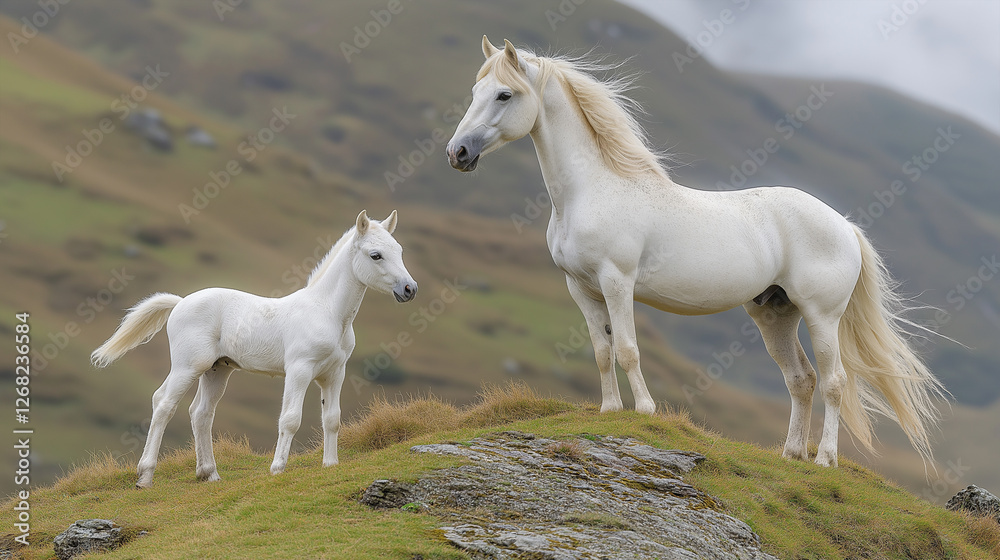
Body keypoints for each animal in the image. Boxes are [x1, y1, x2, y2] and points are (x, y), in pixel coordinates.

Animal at [92, 210, 417, 487]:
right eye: (375, 255)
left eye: (400, 250)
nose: (409, 289)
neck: (327, 312)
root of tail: (180, 302)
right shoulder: (299, 370)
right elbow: (290, 419)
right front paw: (277, 469)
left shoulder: (334, 373)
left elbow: (332, 419)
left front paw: (330, 465)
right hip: (188, 367)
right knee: (163, 405)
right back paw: (145, 476)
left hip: (217, 371)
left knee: (201, 413)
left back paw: (209, 473)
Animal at [446, 37, 945, 468]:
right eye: (474, 91)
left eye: (505, 94)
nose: (458, 152)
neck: (592, 190)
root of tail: (844, 225)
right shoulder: (581, 289)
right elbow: (602, 351)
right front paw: (609, 410)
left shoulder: (616, 281)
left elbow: (627, 349)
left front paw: (644, 411)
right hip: (775, 313)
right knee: (801, 379)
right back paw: (791, 455)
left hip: (822, 315)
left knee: (834, 382)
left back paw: (824, 459)